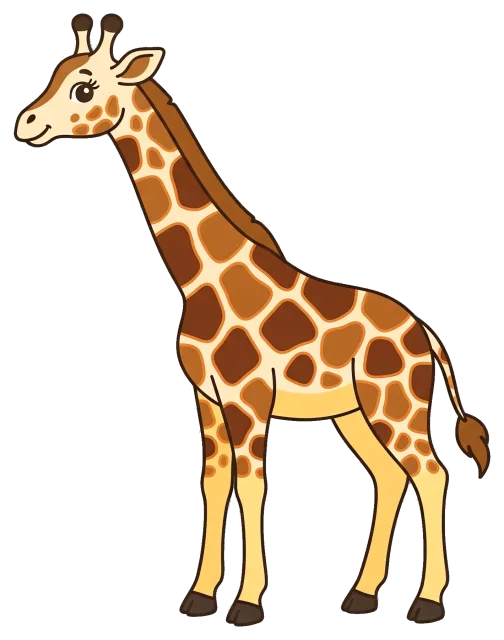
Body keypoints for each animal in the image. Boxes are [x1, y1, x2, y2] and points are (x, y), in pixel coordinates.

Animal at [14, 14, 491, 627]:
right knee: (388, 476)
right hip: (354, 413)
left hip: (396, 406)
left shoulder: (247, 399)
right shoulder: (207, 399)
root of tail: (427, 334)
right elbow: (216, 486)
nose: (26, 123)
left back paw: (426, 604)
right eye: (59, 74)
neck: (200, 279)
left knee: (430, 474)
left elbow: (251, 489)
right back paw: (361, 596)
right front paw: (199, 598)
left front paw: (244, 604)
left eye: (85, 88)